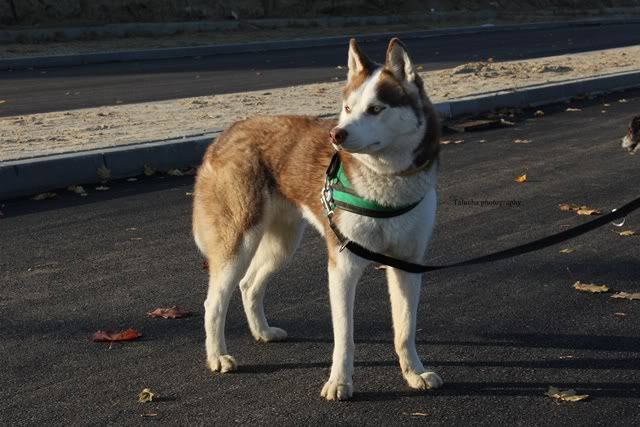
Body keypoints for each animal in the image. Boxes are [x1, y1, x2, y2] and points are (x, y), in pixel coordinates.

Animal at [192, 38, 442, 400]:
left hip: (282, 246)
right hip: (238, 244)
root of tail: (226, 133)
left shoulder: (407, 263)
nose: (337, 135)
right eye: (348, 108)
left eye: (376, 109)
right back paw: (218, 357)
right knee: (213, 303)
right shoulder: (343, 266)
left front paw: (414, 373)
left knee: (249, 284)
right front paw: (339, 382)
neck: (386, 183)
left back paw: (262, 331)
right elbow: (344, 337)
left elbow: (405, 330)